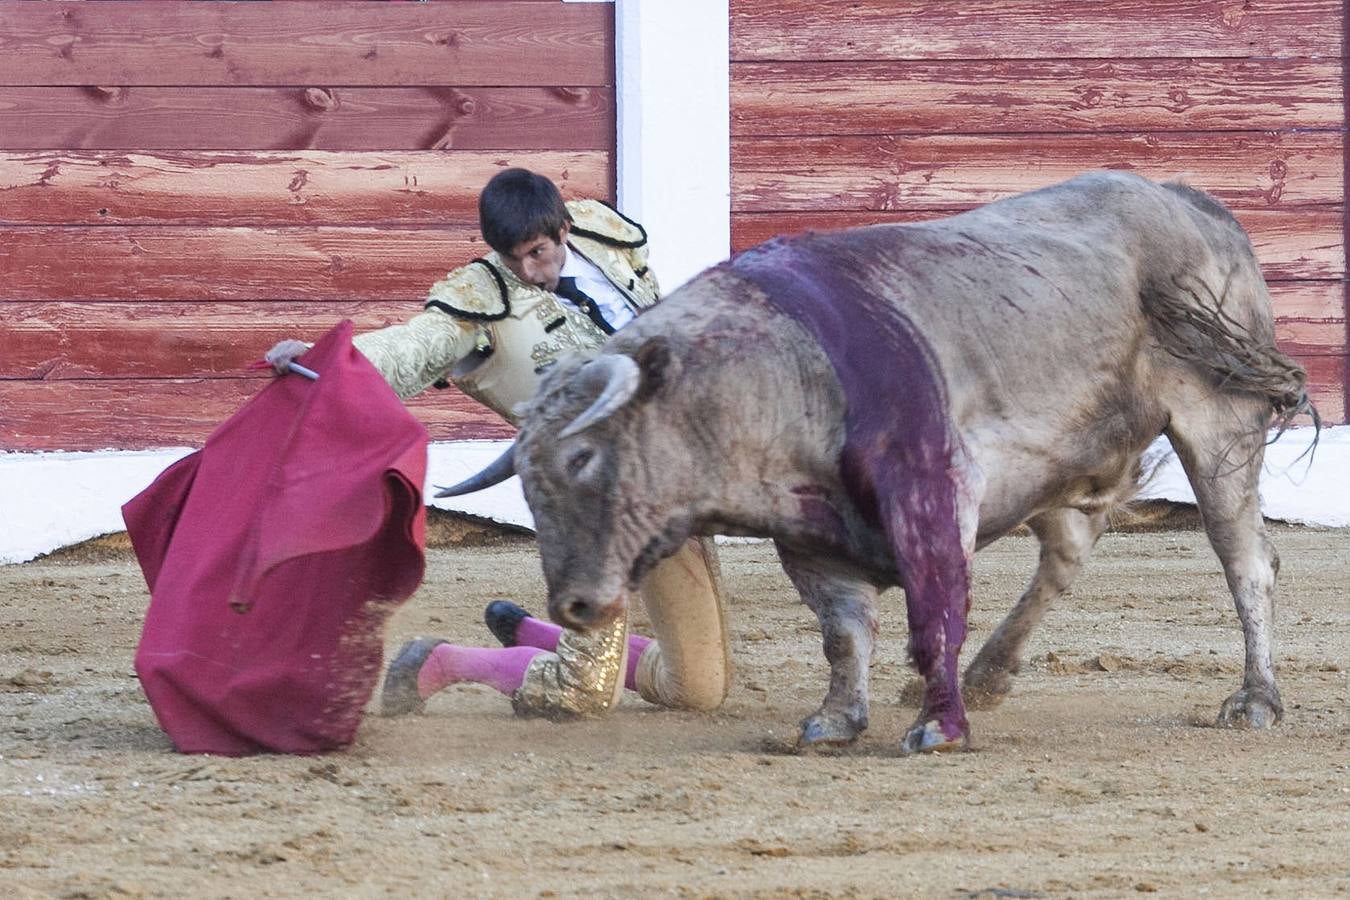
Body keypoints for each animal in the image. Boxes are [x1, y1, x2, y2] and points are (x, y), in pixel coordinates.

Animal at [440, 170, 1306, 755]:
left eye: (585, 453)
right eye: (528, 481)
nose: (576, 605)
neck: (766, 373)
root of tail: (1191, 202)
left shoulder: (931, 489)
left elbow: (934, 608)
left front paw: (939, 726)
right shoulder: (808, 534)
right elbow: (844, 632)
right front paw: (836, 720)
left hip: (1217, 421)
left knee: (1245, 559)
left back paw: (1255, 700)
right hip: (1072, 453)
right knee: (1066, 553)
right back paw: (988, 674)